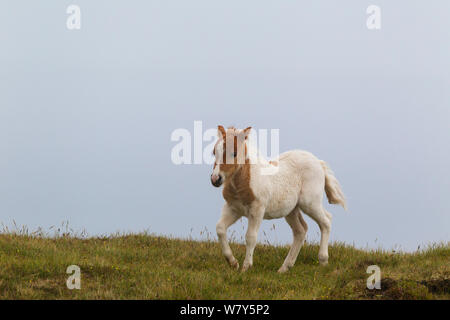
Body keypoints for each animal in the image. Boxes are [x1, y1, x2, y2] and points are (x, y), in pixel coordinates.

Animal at [212, 125, 348, 272]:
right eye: (214, 152)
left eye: (234, 153)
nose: (215, 179)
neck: (243, 181)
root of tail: (318, 162)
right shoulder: (233, 208)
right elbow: (220, 229)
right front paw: (233, 262)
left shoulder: (257, 210)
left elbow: (250, 237)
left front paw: (246, 267)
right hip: (291, 210)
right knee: (300, 230)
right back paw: (284, 268)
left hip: (310, 203)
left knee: (326, 221)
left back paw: (323, 260)